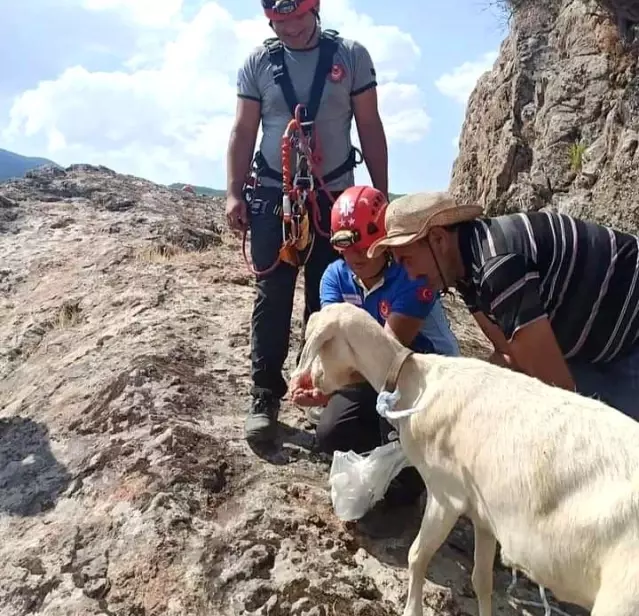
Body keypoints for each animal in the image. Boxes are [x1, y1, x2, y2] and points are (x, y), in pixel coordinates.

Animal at [294, 304, 639, 616]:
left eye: (321, 344)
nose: (313, 382)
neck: (414, 383)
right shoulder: (484, 515)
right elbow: (481, 580)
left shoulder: (446, 493)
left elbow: (417, 556)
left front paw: (412, 610)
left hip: (621, 597)